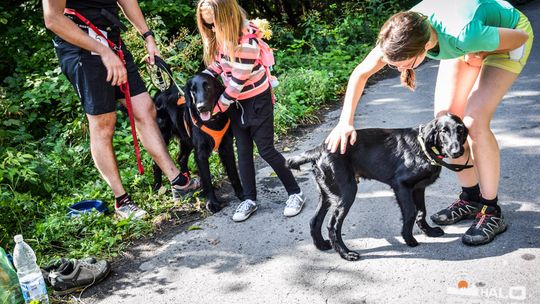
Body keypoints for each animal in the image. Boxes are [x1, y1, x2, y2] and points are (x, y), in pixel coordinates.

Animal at [288, 114, 470, 262]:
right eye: (444, 131)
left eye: (460, 130)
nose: (457, 151)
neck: (424, 148)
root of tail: (320, 149)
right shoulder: (401, 186)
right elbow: (410, 213)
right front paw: (408, 239)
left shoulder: (419, 188)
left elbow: (421, 212)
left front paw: (429, 231)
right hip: (346, 192)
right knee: (333, 226)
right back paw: (346, 254)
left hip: (328, 193)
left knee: (315, 220)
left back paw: (321, 245)